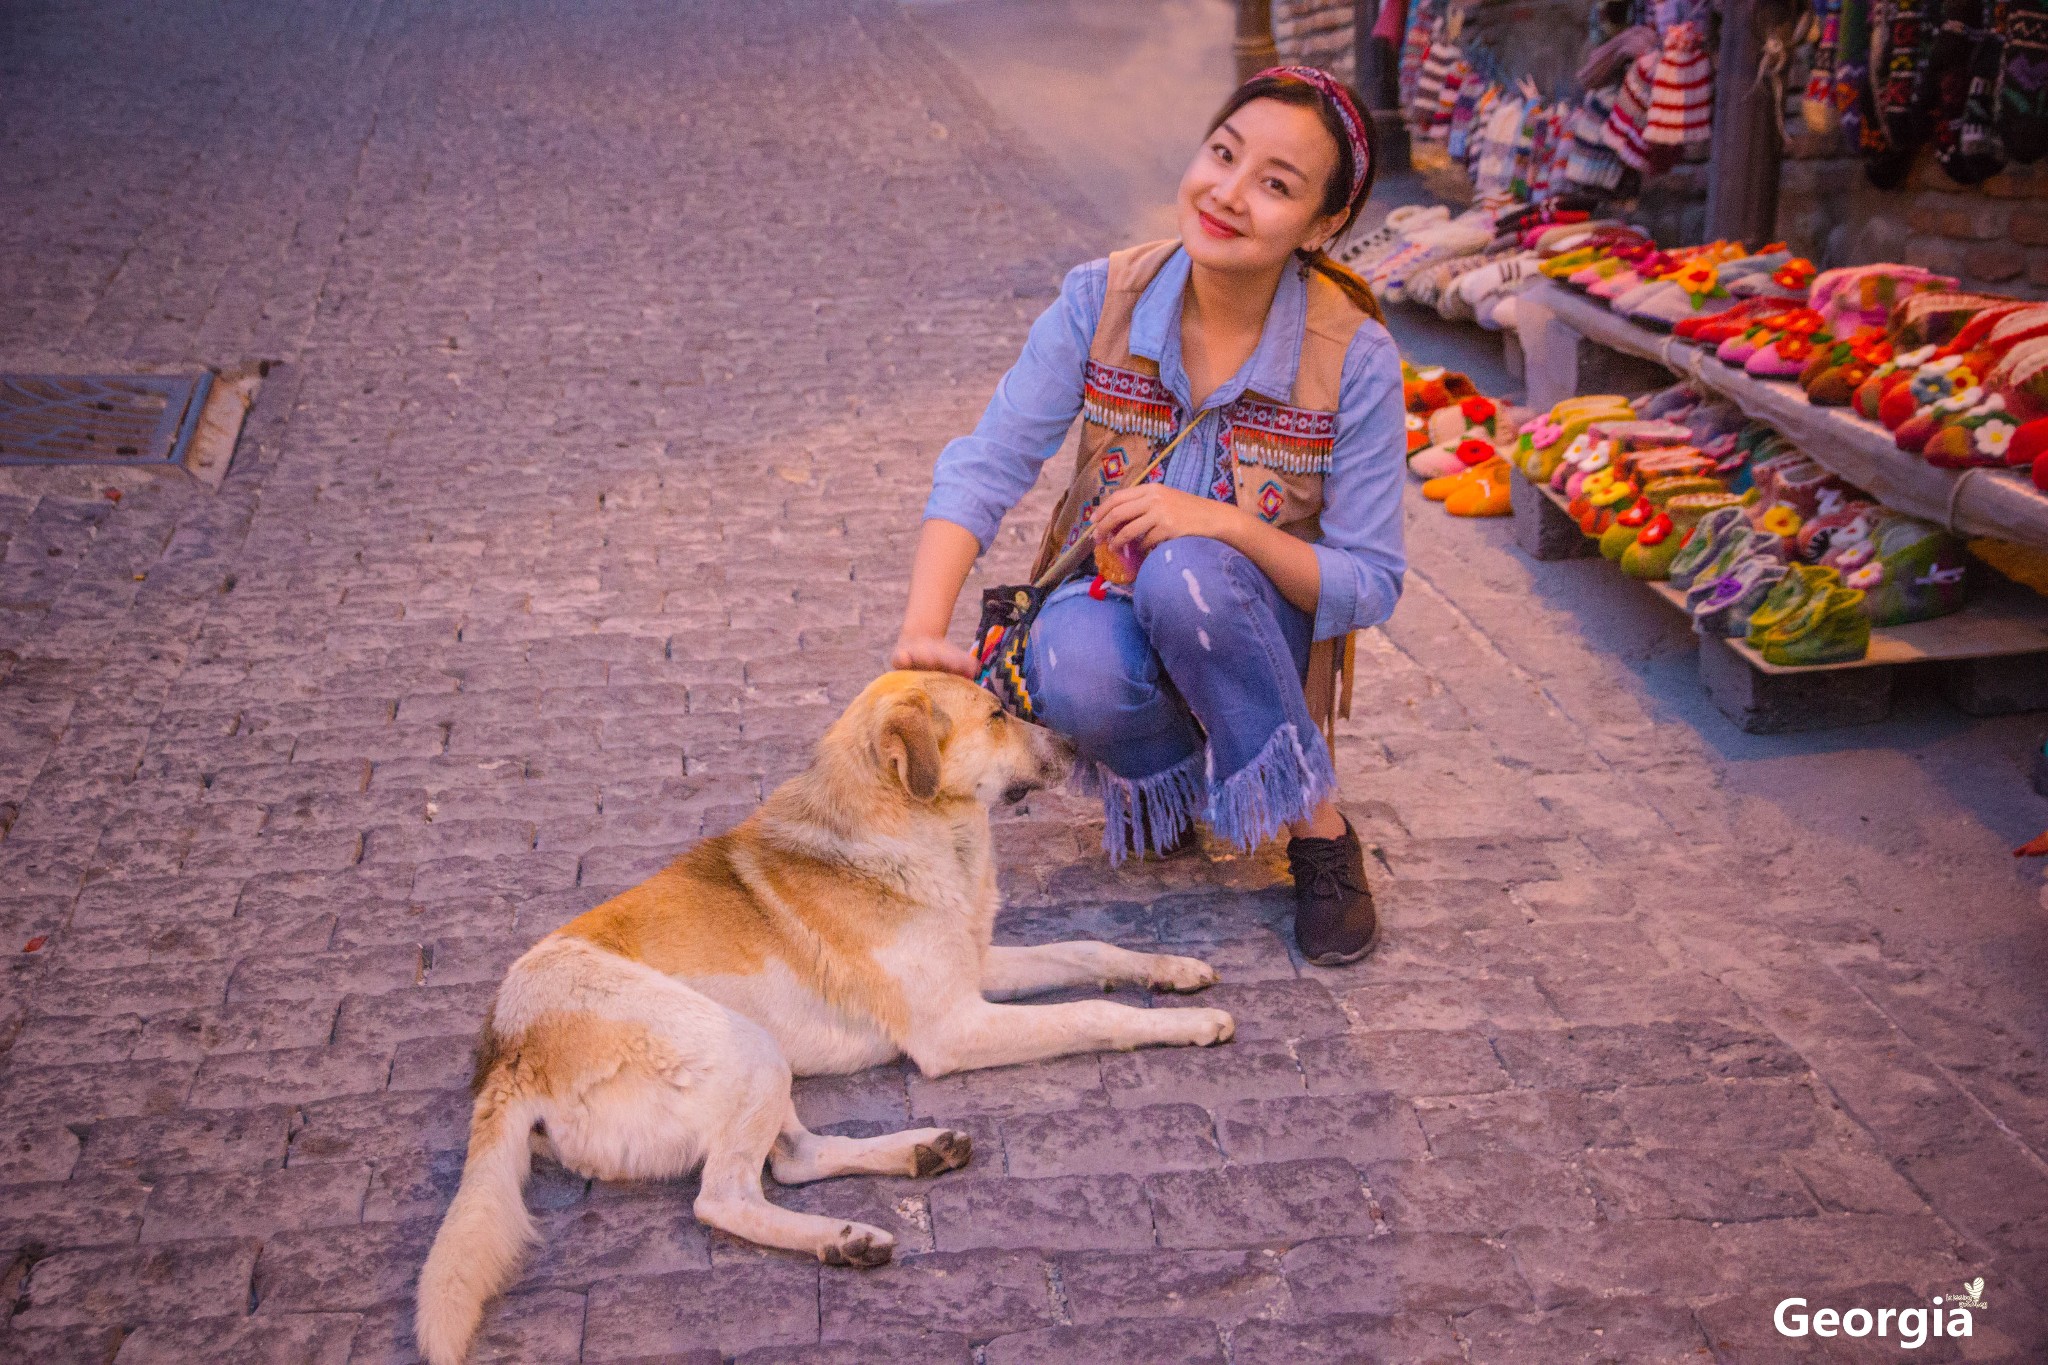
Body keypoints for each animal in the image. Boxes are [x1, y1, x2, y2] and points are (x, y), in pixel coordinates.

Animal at [415, 671, 1228, 1365]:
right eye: (997, 714)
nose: (1078, 749)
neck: (909, 825)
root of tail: (506, 1054)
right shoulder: (954, 1028)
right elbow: (1091, 1011)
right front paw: (1183, 1024)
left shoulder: (977, 972)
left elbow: (1089, 949)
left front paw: (1173, 970)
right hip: (743, 1044)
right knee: (726, 1196)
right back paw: (844, 1238)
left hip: (759, 1064)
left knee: (793, 1159)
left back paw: (918, 1155)